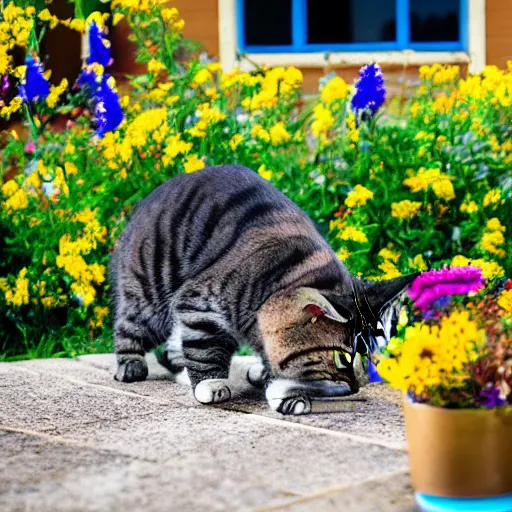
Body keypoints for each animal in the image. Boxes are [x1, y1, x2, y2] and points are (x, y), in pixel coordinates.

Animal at [111, 166, 416, 414]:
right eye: (343, 358)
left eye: (377, 358)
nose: (357, 386)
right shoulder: (199, 301)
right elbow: (204, 346)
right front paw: (210, 384)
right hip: (152, 293)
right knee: (131, 324)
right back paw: (131, 365)